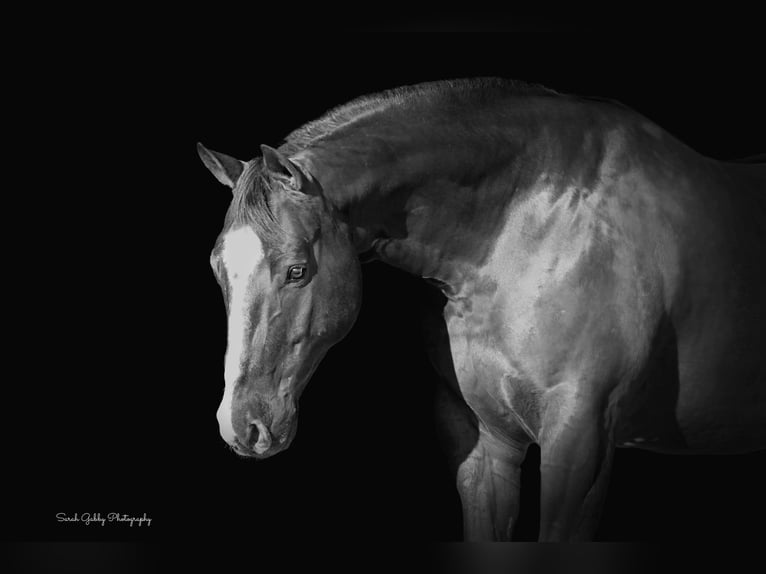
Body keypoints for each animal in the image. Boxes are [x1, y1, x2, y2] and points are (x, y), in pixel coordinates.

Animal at [200, 77, 766, 544]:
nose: (241, 425)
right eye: (218, 269)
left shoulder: (580, 443)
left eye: (297, 270)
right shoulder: (485, 447)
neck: (526, 229)